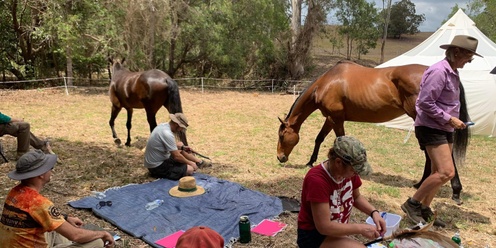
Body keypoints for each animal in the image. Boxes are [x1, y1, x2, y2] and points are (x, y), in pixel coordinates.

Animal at [280, 61, 468, 202]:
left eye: (281, 136)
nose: (280, 157)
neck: (327, 83)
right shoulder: (330, 118)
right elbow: (319, 138)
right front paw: (310, 162)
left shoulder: (336, 119)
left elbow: (341, 141)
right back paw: (421, 183)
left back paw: (455, 190)